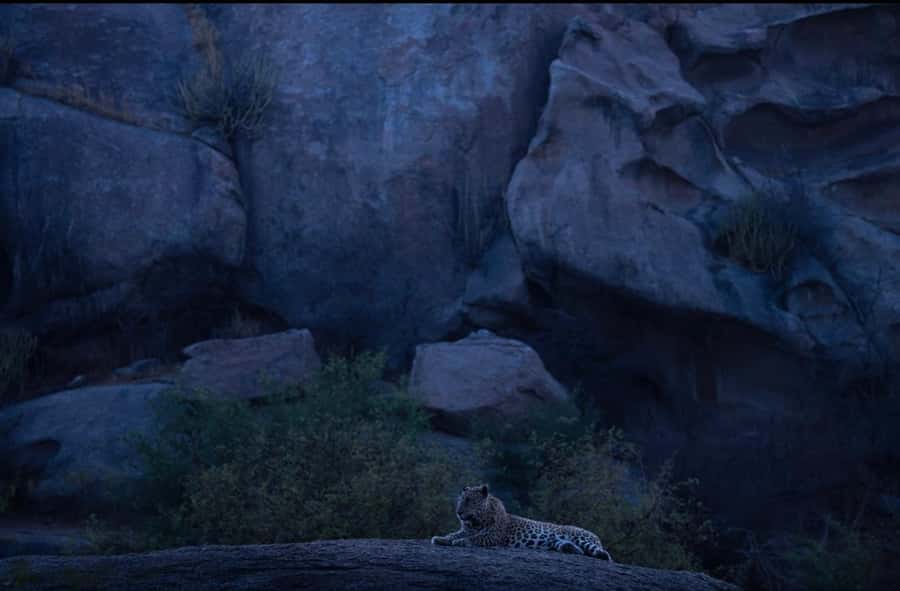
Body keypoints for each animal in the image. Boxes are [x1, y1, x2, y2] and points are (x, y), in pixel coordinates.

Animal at [430, 484, 613, 561]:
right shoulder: (466, 529)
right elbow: (453, 534)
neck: (475, 521)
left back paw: (601, 554)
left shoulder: (492, 536)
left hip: (582, 538)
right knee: (576, 550)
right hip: (557, 543)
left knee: (603, 553)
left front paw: (459, 542)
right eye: (460, 501)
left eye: (470, 501)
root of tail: (595, 535)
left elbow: (474, 539)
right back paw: (573, 550)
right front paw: (441, 538)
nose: (458, 512)